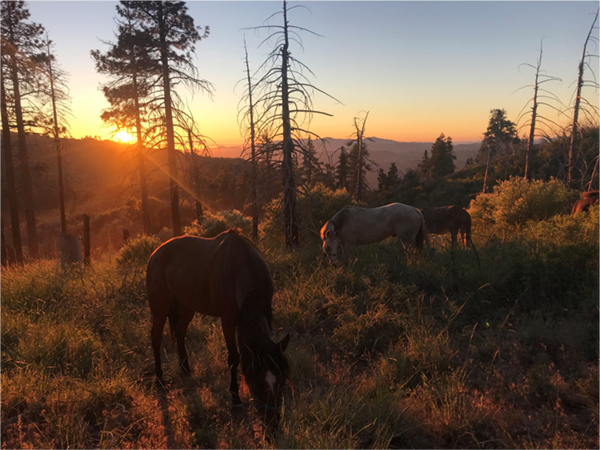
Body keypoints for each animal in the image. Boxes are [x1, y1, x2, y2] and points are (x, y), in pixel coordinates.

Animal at [146, 230, 290, 424]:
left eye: (282, 380)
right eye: (257, 382)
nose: (272, 423)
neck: (240, 267)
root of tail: (155, 254)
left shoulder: (265, 314)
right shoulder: (227, 320)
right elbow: (233, 358)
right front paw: (235, 399)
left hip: (186, 306)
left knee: (180, 332)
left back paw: (186, 370)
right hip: (160, 308)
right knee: (156, 338)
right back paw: (159, 378)